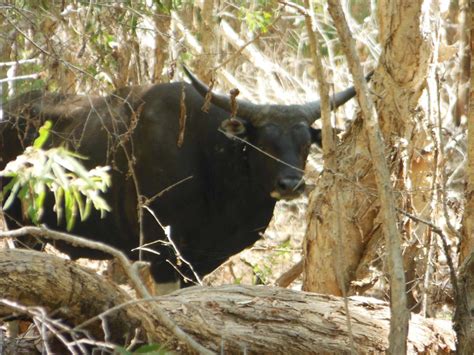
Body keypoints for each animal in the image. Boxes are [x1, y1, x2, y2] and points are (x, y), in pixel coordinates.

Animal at [0, 68, 360, 290]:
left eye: (305, 144)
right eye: (264, 143)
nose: (291, 185)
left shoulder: (199, 262)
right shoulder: (162, 255)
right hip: (21, 228)